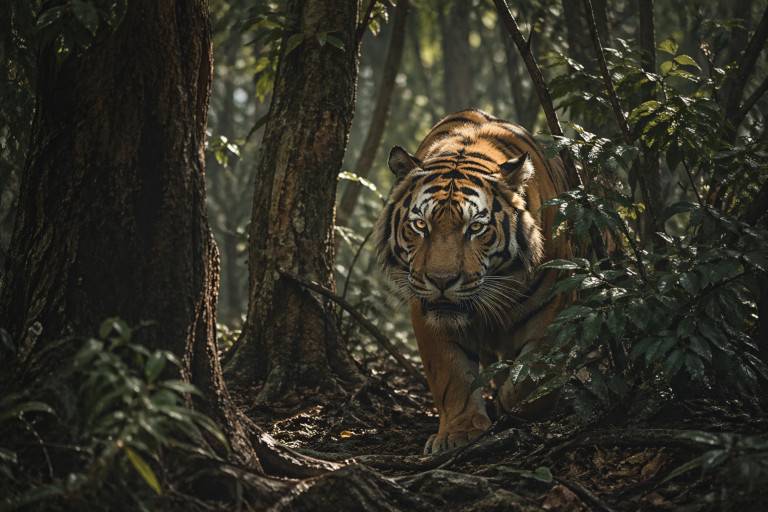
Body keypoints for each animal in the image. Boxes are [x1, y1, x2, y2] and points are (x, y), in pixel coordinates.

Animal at [373, 109, 575, 454]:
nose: (441, 280)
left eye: (476, 228)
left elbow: (537, 373)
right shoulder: (427, 312)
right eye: (420, 225)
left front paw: (508, 405)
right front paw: (461, 434)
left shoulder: (556, 297)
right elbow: (451, 374)